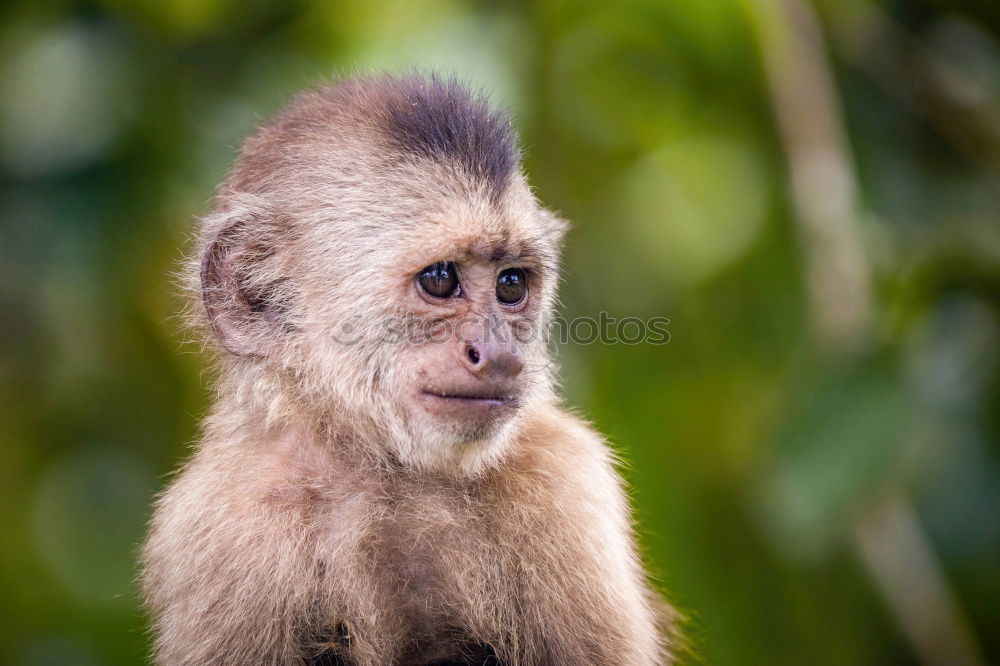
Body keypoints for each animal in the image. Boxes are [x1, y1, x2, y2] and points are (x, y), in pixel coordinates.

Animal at [141, 74, 676, 664]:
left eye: (511, 284)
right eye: (440, 279)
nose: (501, 353)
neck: (383, 469)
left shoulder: (567, 476)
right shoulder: (217, 526)